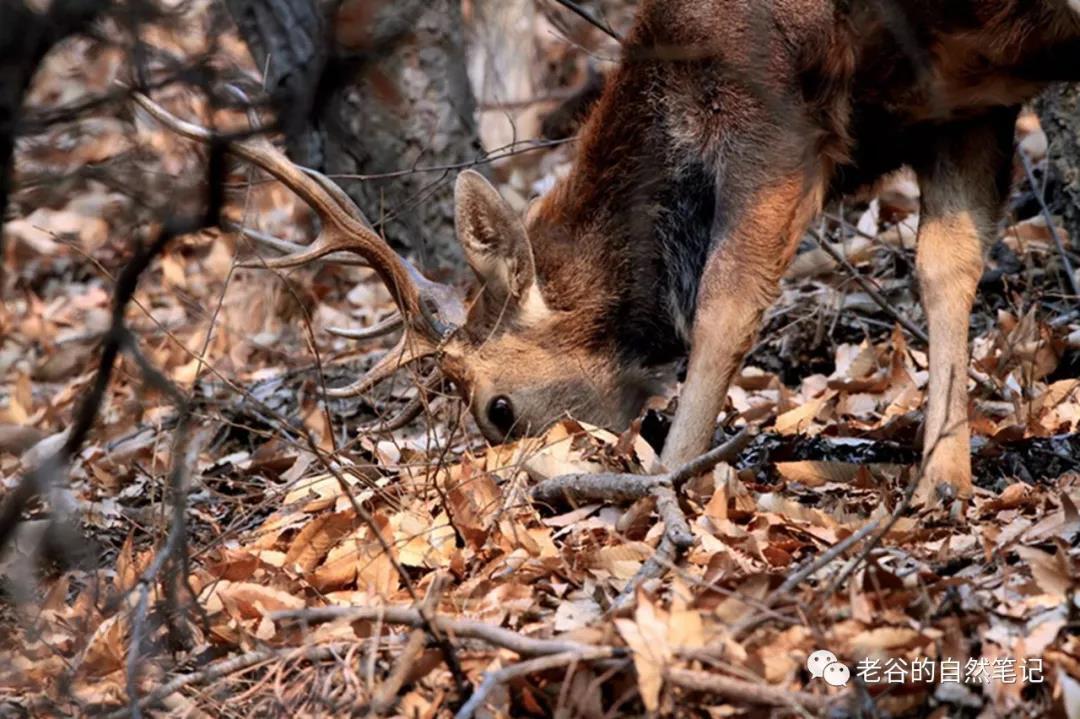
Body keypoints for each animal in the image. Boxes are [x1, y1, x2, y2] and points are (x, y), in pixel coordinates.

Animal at [139, 0, 1080, 503]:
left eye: (498, 409)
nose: (509, 491)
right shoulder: (960, 103)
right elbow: (946, 264)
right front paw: (942, 480)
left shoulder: (774, 115)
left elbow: (725, 303)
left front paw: (670, 478)